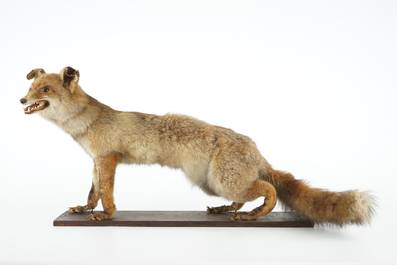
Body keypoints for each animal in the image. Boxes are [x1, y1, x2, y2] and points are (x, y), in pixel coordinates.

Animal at [20, 66, 376, 225]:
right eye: (31, 87)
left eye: (46, 89)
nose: (21, 100)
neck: (86, 124)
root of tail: (255, 148)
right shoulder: (96, 160)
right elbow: (93, 192)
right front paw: (83, 210)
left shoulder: (108, 158)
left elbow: (106, 193)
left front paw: (107, 215)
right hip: (213, 185)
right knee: (246, 194)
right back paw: (227, 210)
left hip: (225, 181)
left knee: (269, 188)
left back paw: (255, 214)